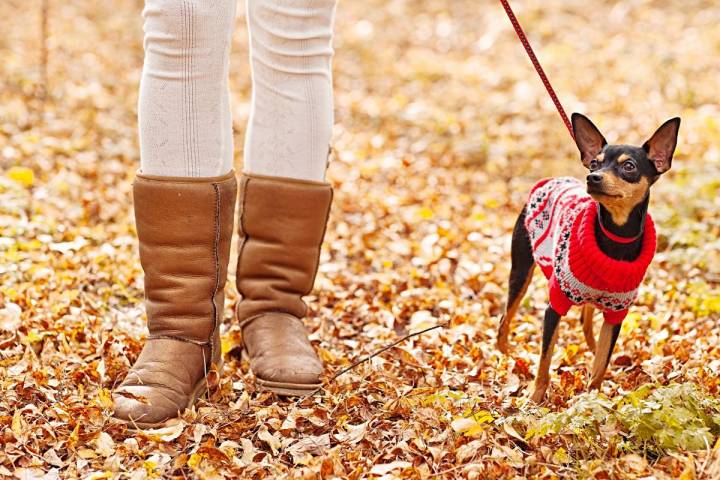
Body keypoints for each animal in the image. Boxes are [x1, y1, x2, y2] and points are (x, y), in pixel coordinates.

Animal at [496, 112, 680, 402]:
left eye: (629, 166)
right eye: (595, 162)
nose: (593, 177)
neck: (615, 238)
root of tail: (550, 180)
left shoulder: (617, 313)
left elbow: (601, 363)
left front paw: (592, 399)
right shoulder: (555, 305)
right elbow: (545, 360)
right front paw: (535, 398)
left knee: (587, 322)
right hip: (521, 272)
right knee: (505, 318)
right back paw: (507, 358)